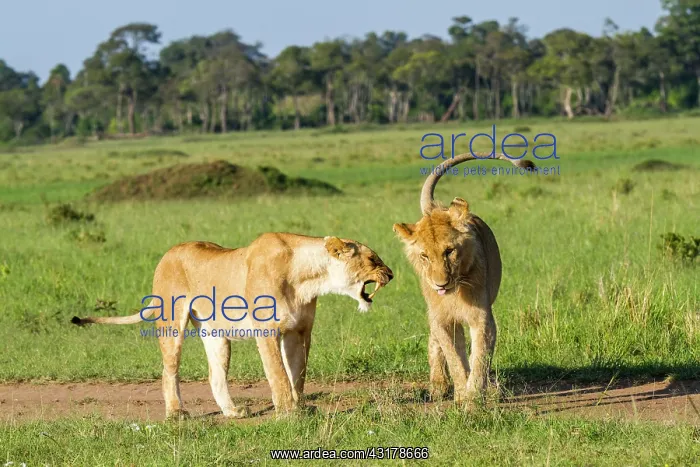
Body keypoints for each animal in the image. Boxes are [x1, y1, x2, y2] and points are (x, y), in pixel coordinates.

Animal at [71, 233, 393, 419]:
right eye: (372, 258)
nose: (391, 274)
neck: (309, 277)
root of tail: (168, 253)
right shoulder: (268, 330)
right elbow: (278, 374)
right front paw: (289, 412)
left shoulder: (299, 330)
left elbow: (298, 373)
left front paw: (301, 406)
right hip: (172, 323)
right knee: (169, 369)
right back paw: (176, 413)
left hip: (215, 334)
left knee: (215, 374)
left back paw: (232, 412)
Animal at [392, 152, 535, 404]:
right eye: (424, 256)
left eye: (449, 251)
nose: (440, 284)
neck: (455, 291)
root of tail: (436, 208)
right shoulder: (443, 318)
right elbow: (455, 358)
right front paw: (461, 395)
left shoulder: (482, 318)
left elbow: (479, 359)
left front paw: (474, 397)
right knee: (435, 340)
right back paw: (439, 385)